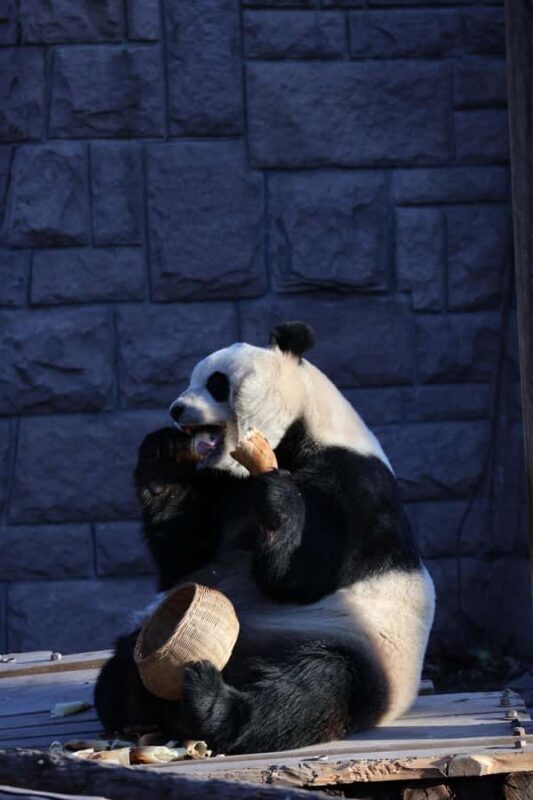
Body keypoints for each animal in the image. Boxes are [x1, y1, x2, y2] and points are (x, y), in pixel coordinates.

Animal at [95, 321, 435, 755]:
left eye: (216, 383)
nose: (176, 409)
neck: (295, 438)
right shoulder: (224, 490)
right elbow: (185, 557)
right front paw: (162, 456)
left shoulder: (359, 486)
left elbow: (307, 575)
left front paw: (278, 497)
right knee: (121, 667)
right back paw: (136, 705)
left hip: (354, 647)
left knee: (312, 688)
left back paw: (212, 705)